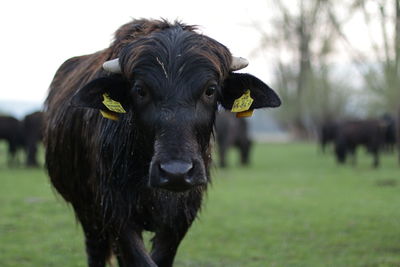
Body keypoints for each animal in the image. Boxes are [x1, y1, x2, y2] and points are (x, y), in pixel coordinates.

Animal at [43, 17, 282, 266]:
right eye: (140, 90)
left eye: (210, 90)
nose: (176, 172)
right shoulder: (116, 213)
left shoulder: (179, 220)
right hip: (87, 213)